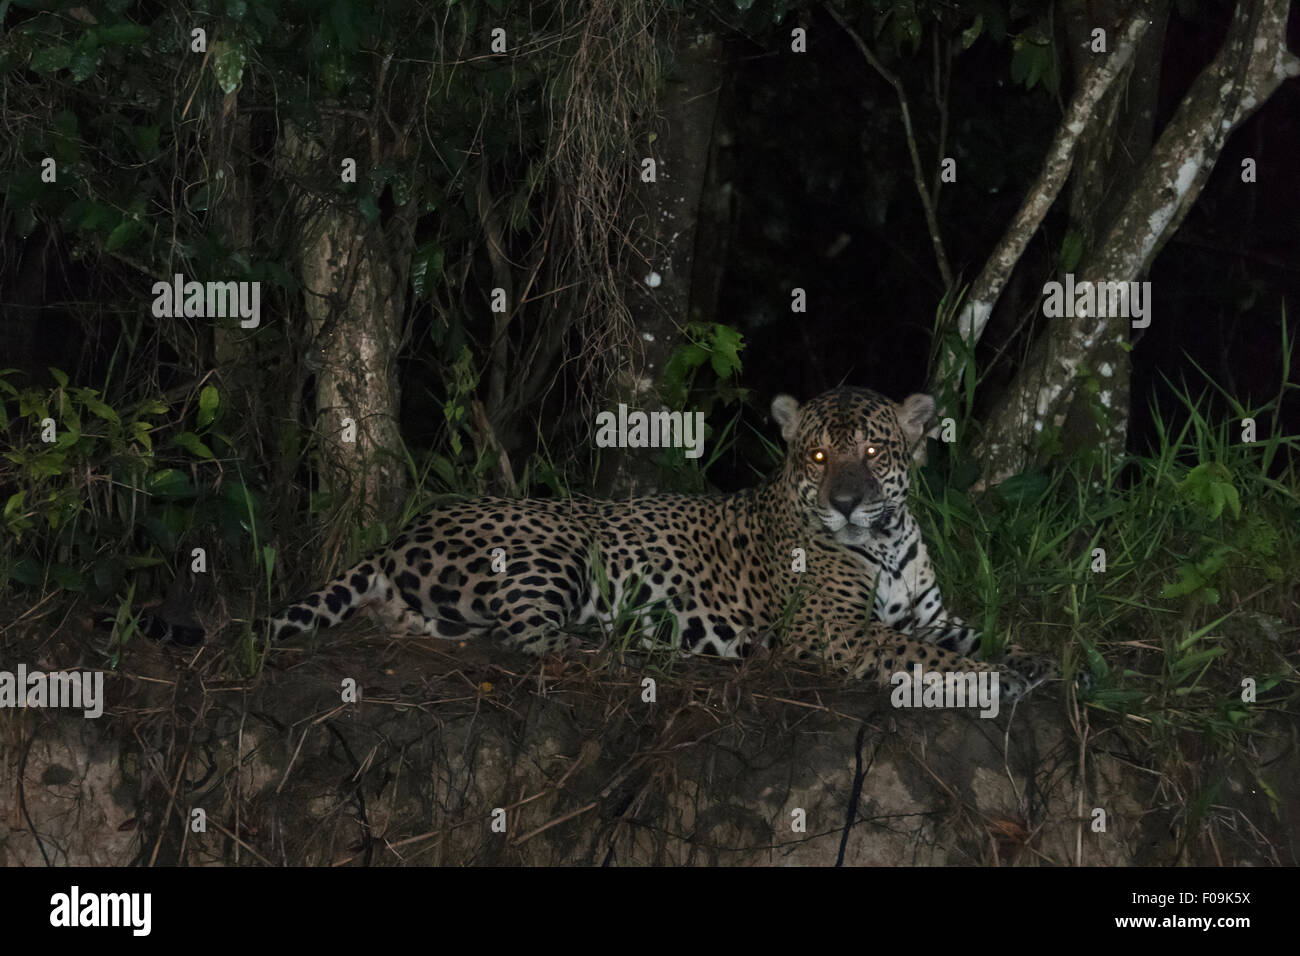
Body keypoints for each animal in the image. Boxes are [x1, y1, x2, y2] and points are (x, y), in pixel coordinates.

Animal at [259, 386, 1056, 704]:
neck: (885, 540)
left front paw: (1035, 660)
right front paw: (996, 679)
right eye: (818, 457)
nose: (846, 502)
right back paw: (620, 650)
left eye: (869, 450)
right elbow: (922, 657)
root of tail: (403, 531)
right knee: (528, 637)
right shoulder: (836, 628)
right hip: (559, 546)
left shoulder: (930, 614)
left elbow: (971, 635)